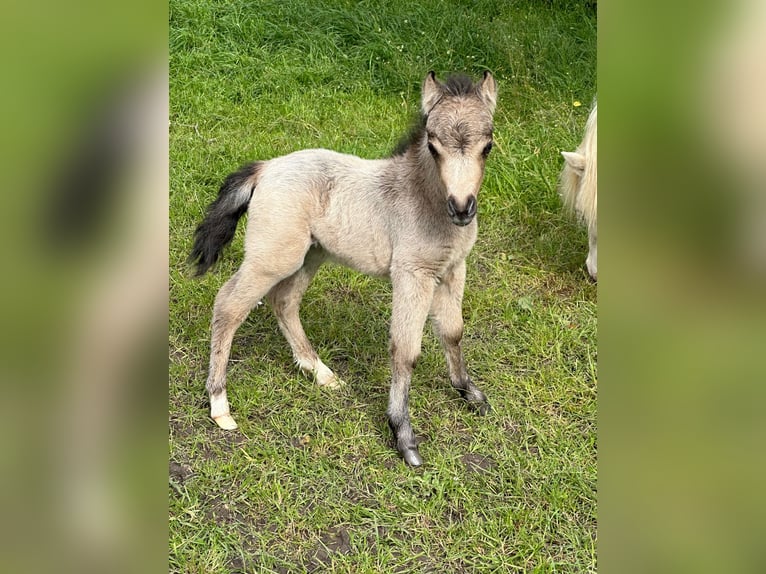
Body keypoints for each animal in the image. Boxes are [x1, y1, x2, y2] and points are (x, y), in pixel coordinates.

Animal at [188, 72, 498, 468]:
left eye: (487, 145)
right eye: (433, 145)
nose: (461, 208)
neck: (423, 200)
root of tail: (267, 167)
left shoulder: (453, 269)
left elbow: (453, 332)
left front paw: (469, 393)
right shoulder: (411, 274)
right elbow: (406, 349)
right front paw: (403, 435)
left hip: (312, 255)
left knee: (284, 302)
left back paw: (320, 372)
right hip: (273, 257)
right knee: (228, 305)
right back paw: (219, 404)